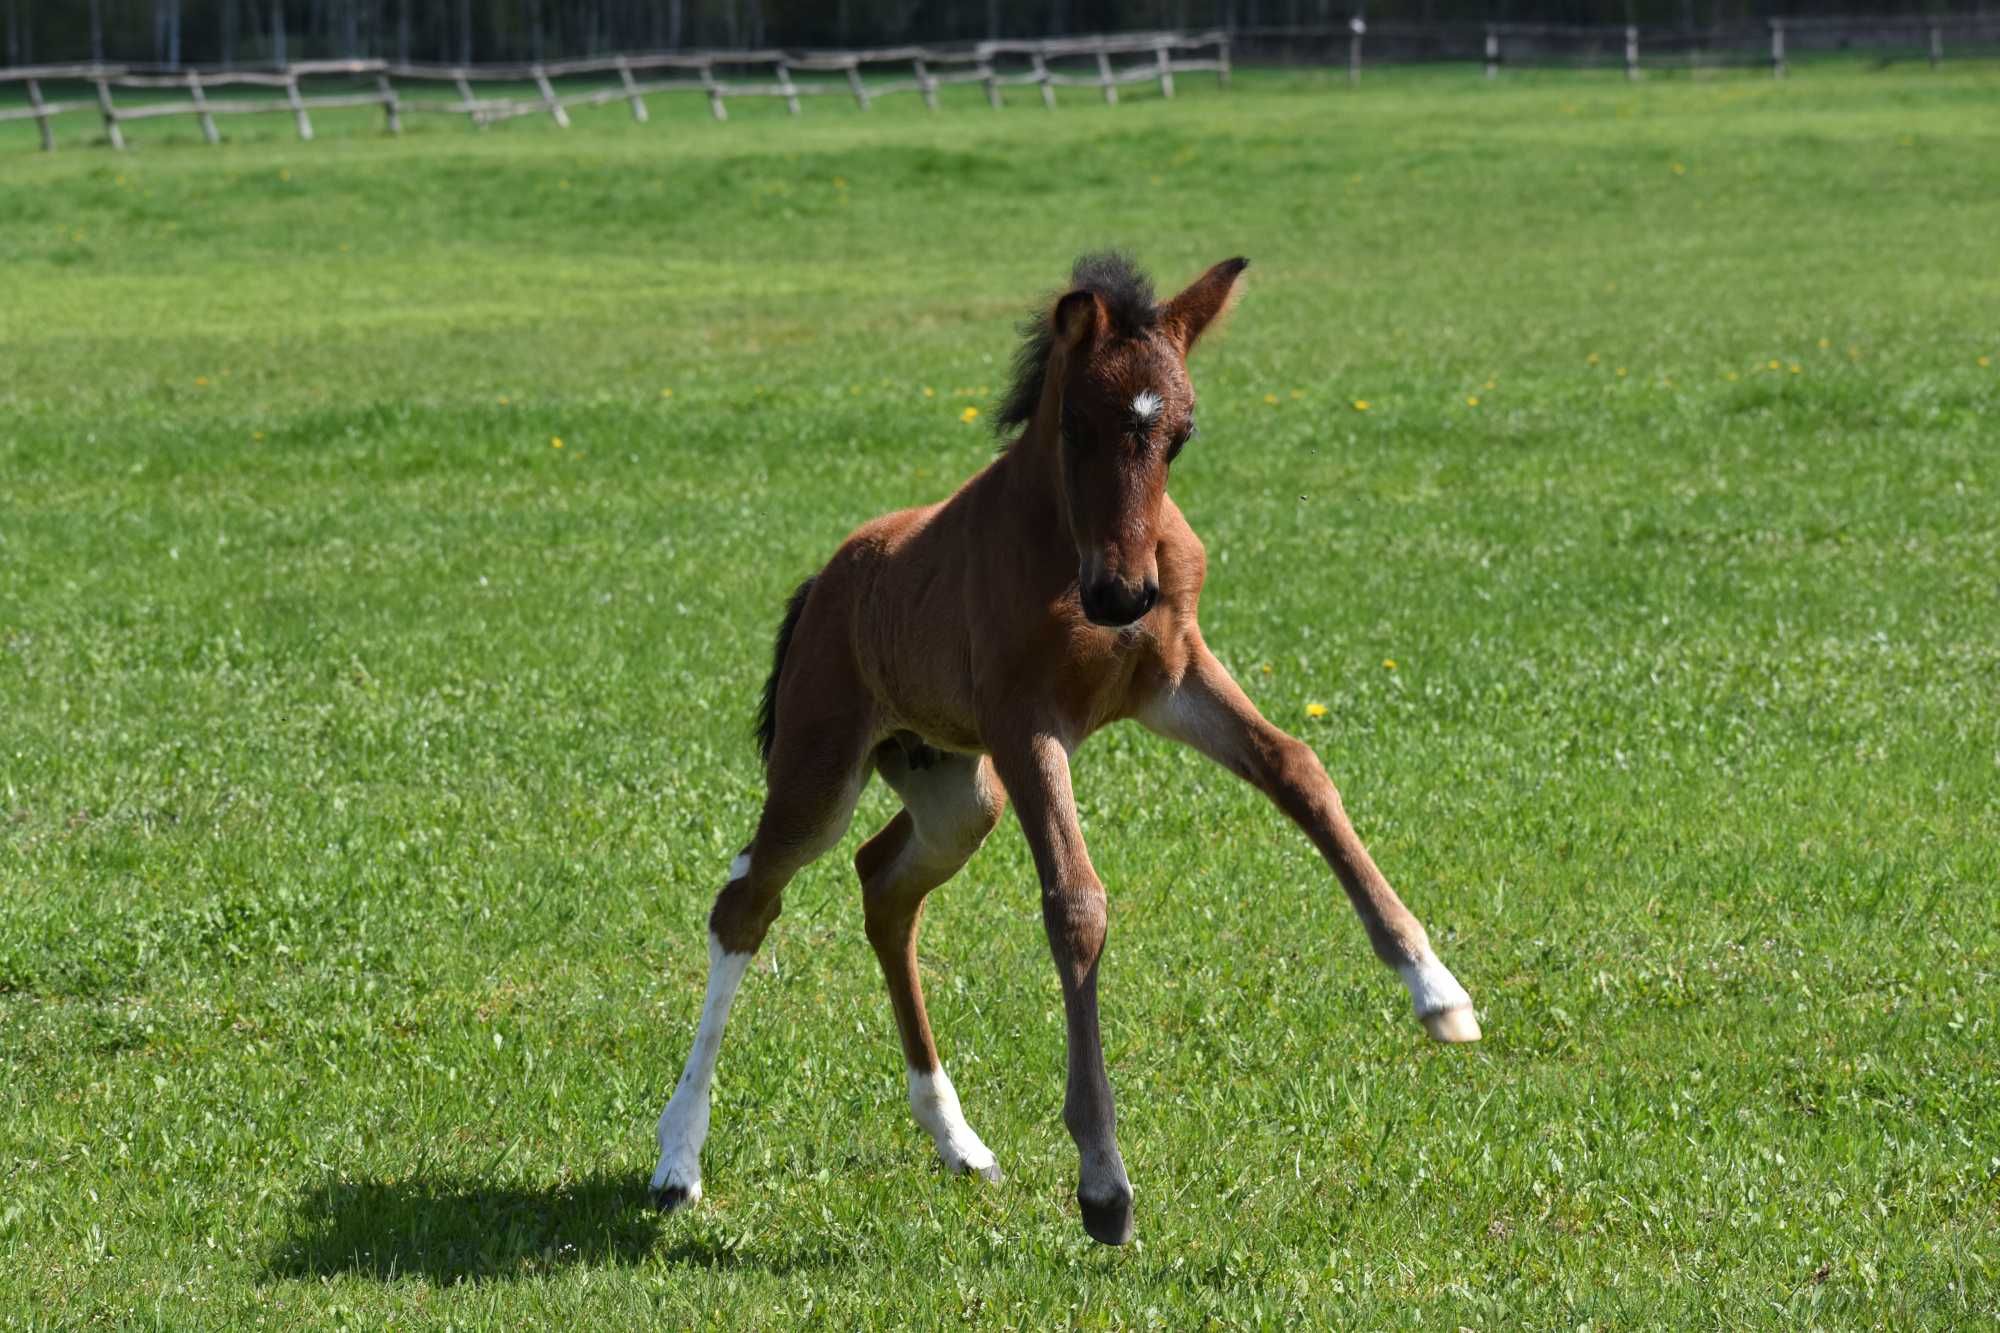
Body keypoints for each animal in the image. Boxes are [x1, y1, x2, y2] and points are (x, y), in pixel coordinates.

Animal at [648, 252, 1480, 1248]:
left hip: (958, 795)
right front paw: (1103, 1183)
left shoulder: (1174, 678)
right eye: (1078, 424)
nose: (1121, 595)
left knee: (883, 884)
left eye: (1182, 435)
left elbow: (1298, 769)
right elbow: (1075, 901)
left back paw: (957, 1137)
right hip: (823, 767)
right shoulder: (1026, 723)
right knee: (748, 899)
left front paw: (1437, 990)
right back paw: (677, 1158)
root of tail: (824, 582)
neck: (1067, 551)